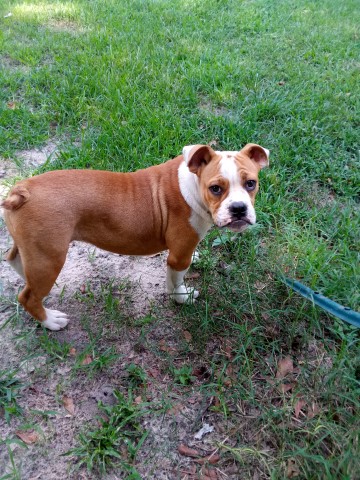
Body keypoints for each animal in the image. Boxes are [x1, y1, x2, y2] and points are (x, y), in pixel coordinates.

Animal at [1, 143, 268, 330]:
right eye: (215, 189)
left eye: (251, 183)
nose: (238, 208)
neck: (193, 185)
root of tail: (21, 191)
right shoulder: (178, 256)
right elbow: (176, 281)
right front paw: (181, 298)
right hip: (50, 257)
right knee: (27, 296)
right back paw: (50, 320)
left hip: (35, 251)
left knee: (15, 260)